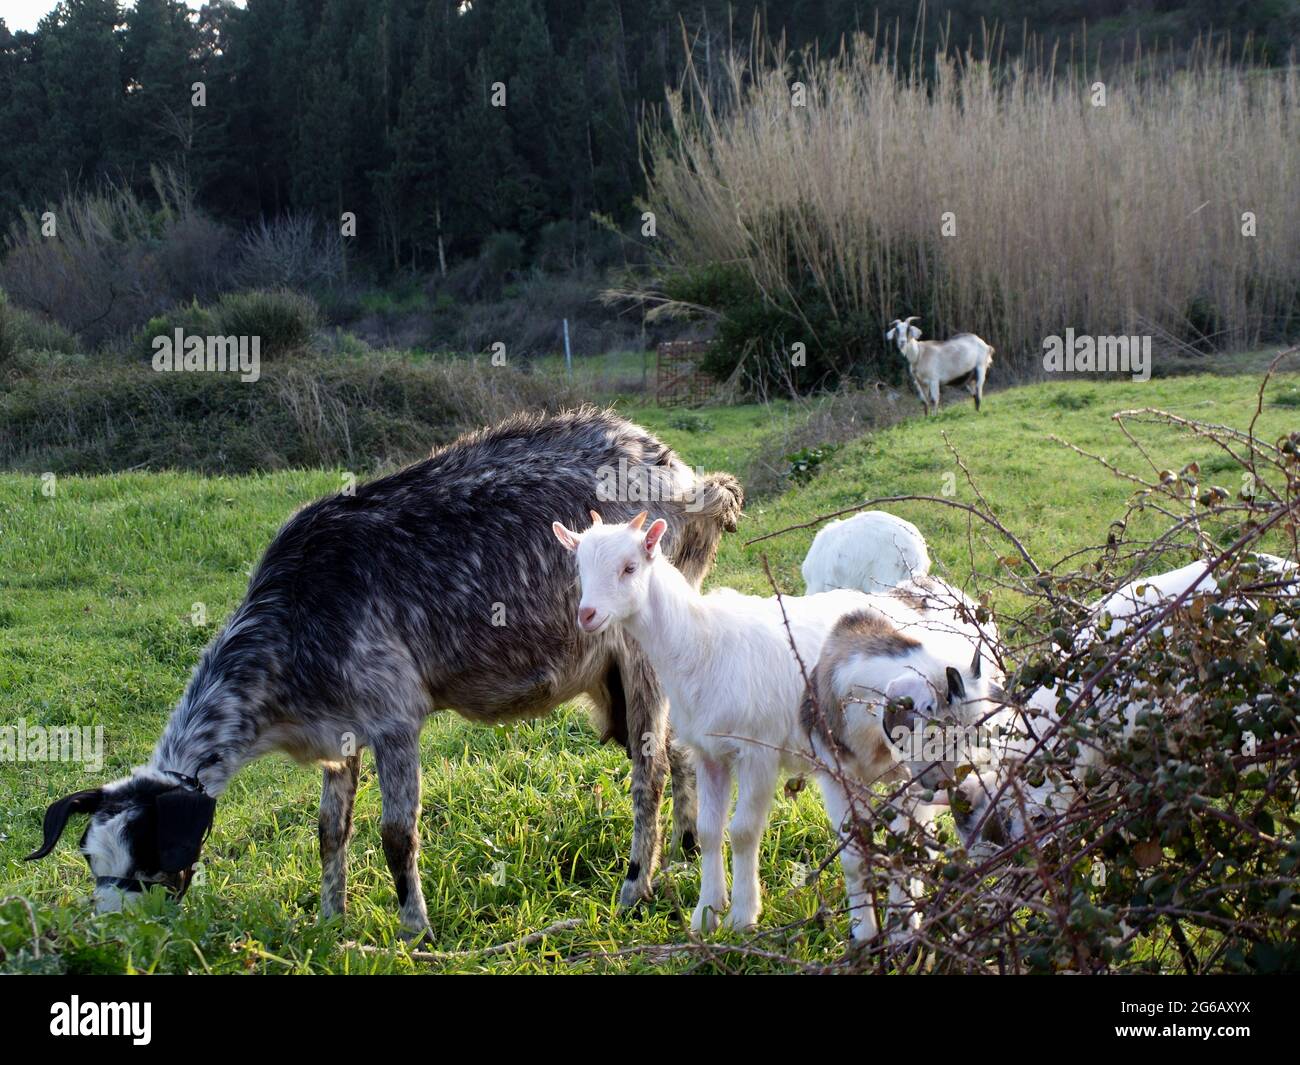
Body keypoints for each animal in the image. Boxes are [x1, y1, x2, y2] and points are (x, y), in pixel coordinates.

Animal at [27, 403, 743, 936]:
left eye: (150, 862)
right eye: (91, 859)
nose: (113, 934)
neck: (293, 625)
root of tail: (690, 484)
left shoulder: (394, 717)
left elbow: (397, 835)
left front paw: (414, 931)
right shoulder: (336, 735)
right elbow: (328, 832)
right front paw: (329, 922)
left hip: (640, 652)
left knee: (648, 769)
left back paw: (634, 886)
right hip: (612, 679)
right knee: (676, 748)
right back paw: (685, 852)